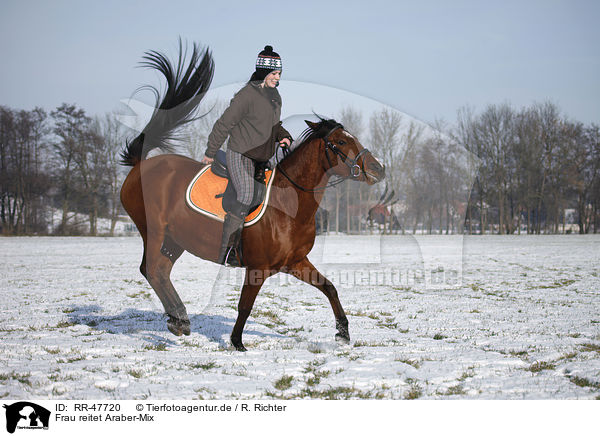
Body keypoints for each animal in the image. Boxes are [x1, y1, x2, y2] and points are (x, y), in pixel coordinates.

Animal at [119, 41, 386, 350]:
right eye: (341, 141)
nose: (378, 169)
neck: (290, 206)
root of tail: (141, 165)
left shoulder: (295, 262)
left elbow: (329, 287)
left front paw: (343, 331)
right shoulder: (257, 268)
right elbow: (245, 306)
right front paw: (236, 342)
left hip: (175, 240)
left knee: (160, 271)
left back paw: (179, 318)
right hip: (155, 231)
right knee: (152, 270)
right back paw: (180, 319)